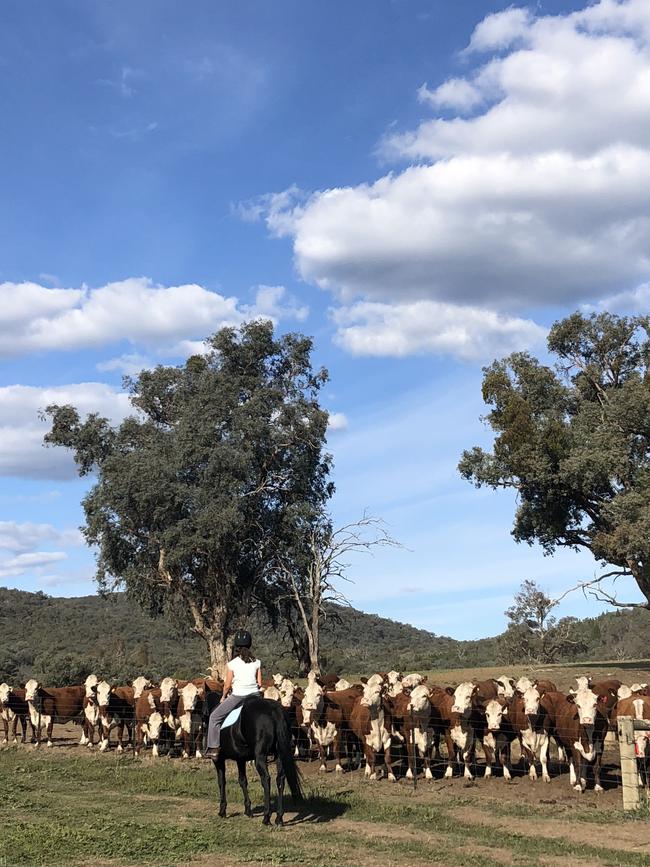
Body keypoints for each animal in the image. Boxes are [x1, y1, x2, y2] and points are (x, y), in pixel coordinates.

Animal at [202, 684, 302, 828]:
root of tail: (275, 710)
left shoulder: (219, 760)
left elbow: (222, 782)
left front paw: (222, 810)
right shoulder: (240, 759)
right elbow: (242, 781)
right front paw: (248, 810)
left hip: (260, 757)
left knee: (266, 779)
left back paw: (266, 817)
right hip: (280, 756)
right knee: (280, 780)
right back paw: (279, 818)